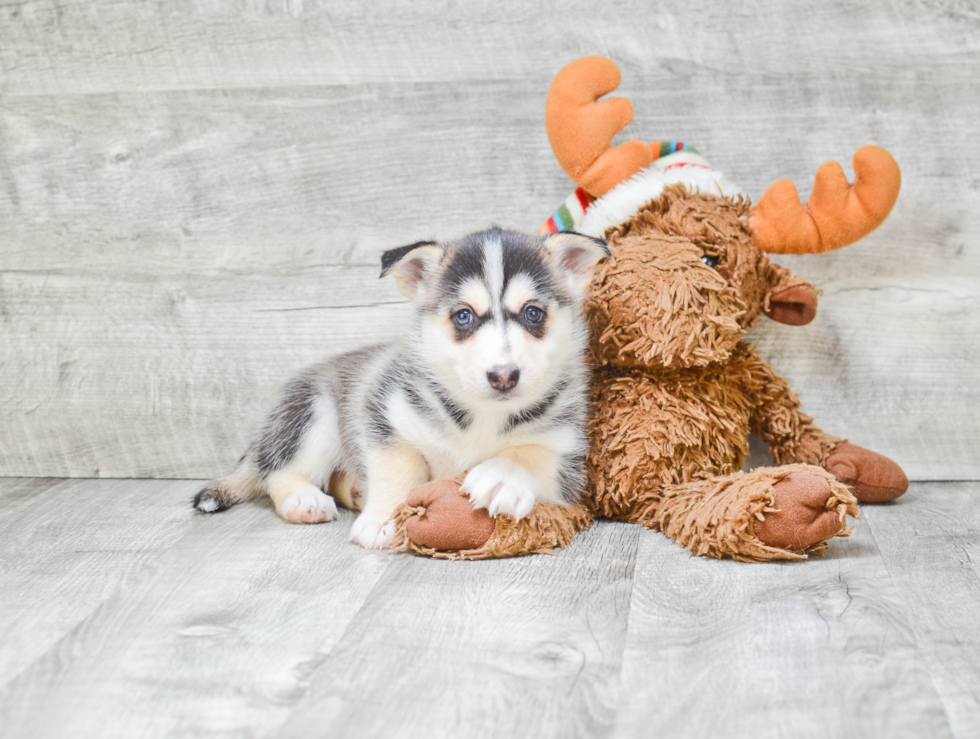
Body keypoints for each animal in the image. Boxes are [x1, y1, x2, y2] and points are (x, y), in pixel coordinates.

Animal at [190, 227, 604, 548]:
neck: (482, 414)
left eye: (533, 313)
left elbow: (531, 454)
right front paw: (383, 519)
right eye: (463, 316)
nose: (503, 375)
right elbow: (398, 471)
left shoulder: (568, 459)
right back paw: (304, 499)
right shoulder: (385, 415)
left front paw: (500, 476)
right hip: (312, 414)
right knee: (276, 472)